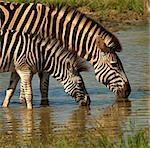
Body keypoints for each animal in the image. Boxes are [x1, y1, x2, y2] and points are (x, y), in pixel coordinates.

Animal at [0, 1, 131, 102]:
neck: (51, 28)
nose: (128, 91)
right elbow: (31, 89)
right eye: (115, 65)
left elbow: (43, 87)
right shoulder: (31, 56)